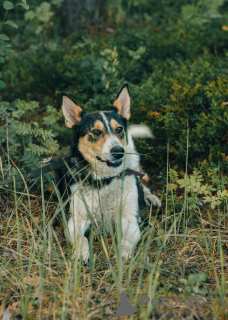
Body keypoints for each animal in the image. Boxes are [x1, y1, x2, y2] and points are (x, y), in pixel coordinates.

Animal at [59, 84, 161, 264]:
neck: (105, 179)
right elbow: (81, 238)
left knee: (141, 184)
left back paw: (150, 197)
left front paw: (123, 255)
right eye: (96, 132)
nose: (118, 151)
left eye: (119, 129)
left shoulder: (129, 220)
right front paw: (82, 253)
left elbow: (126, 240)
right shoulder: (75, 220)